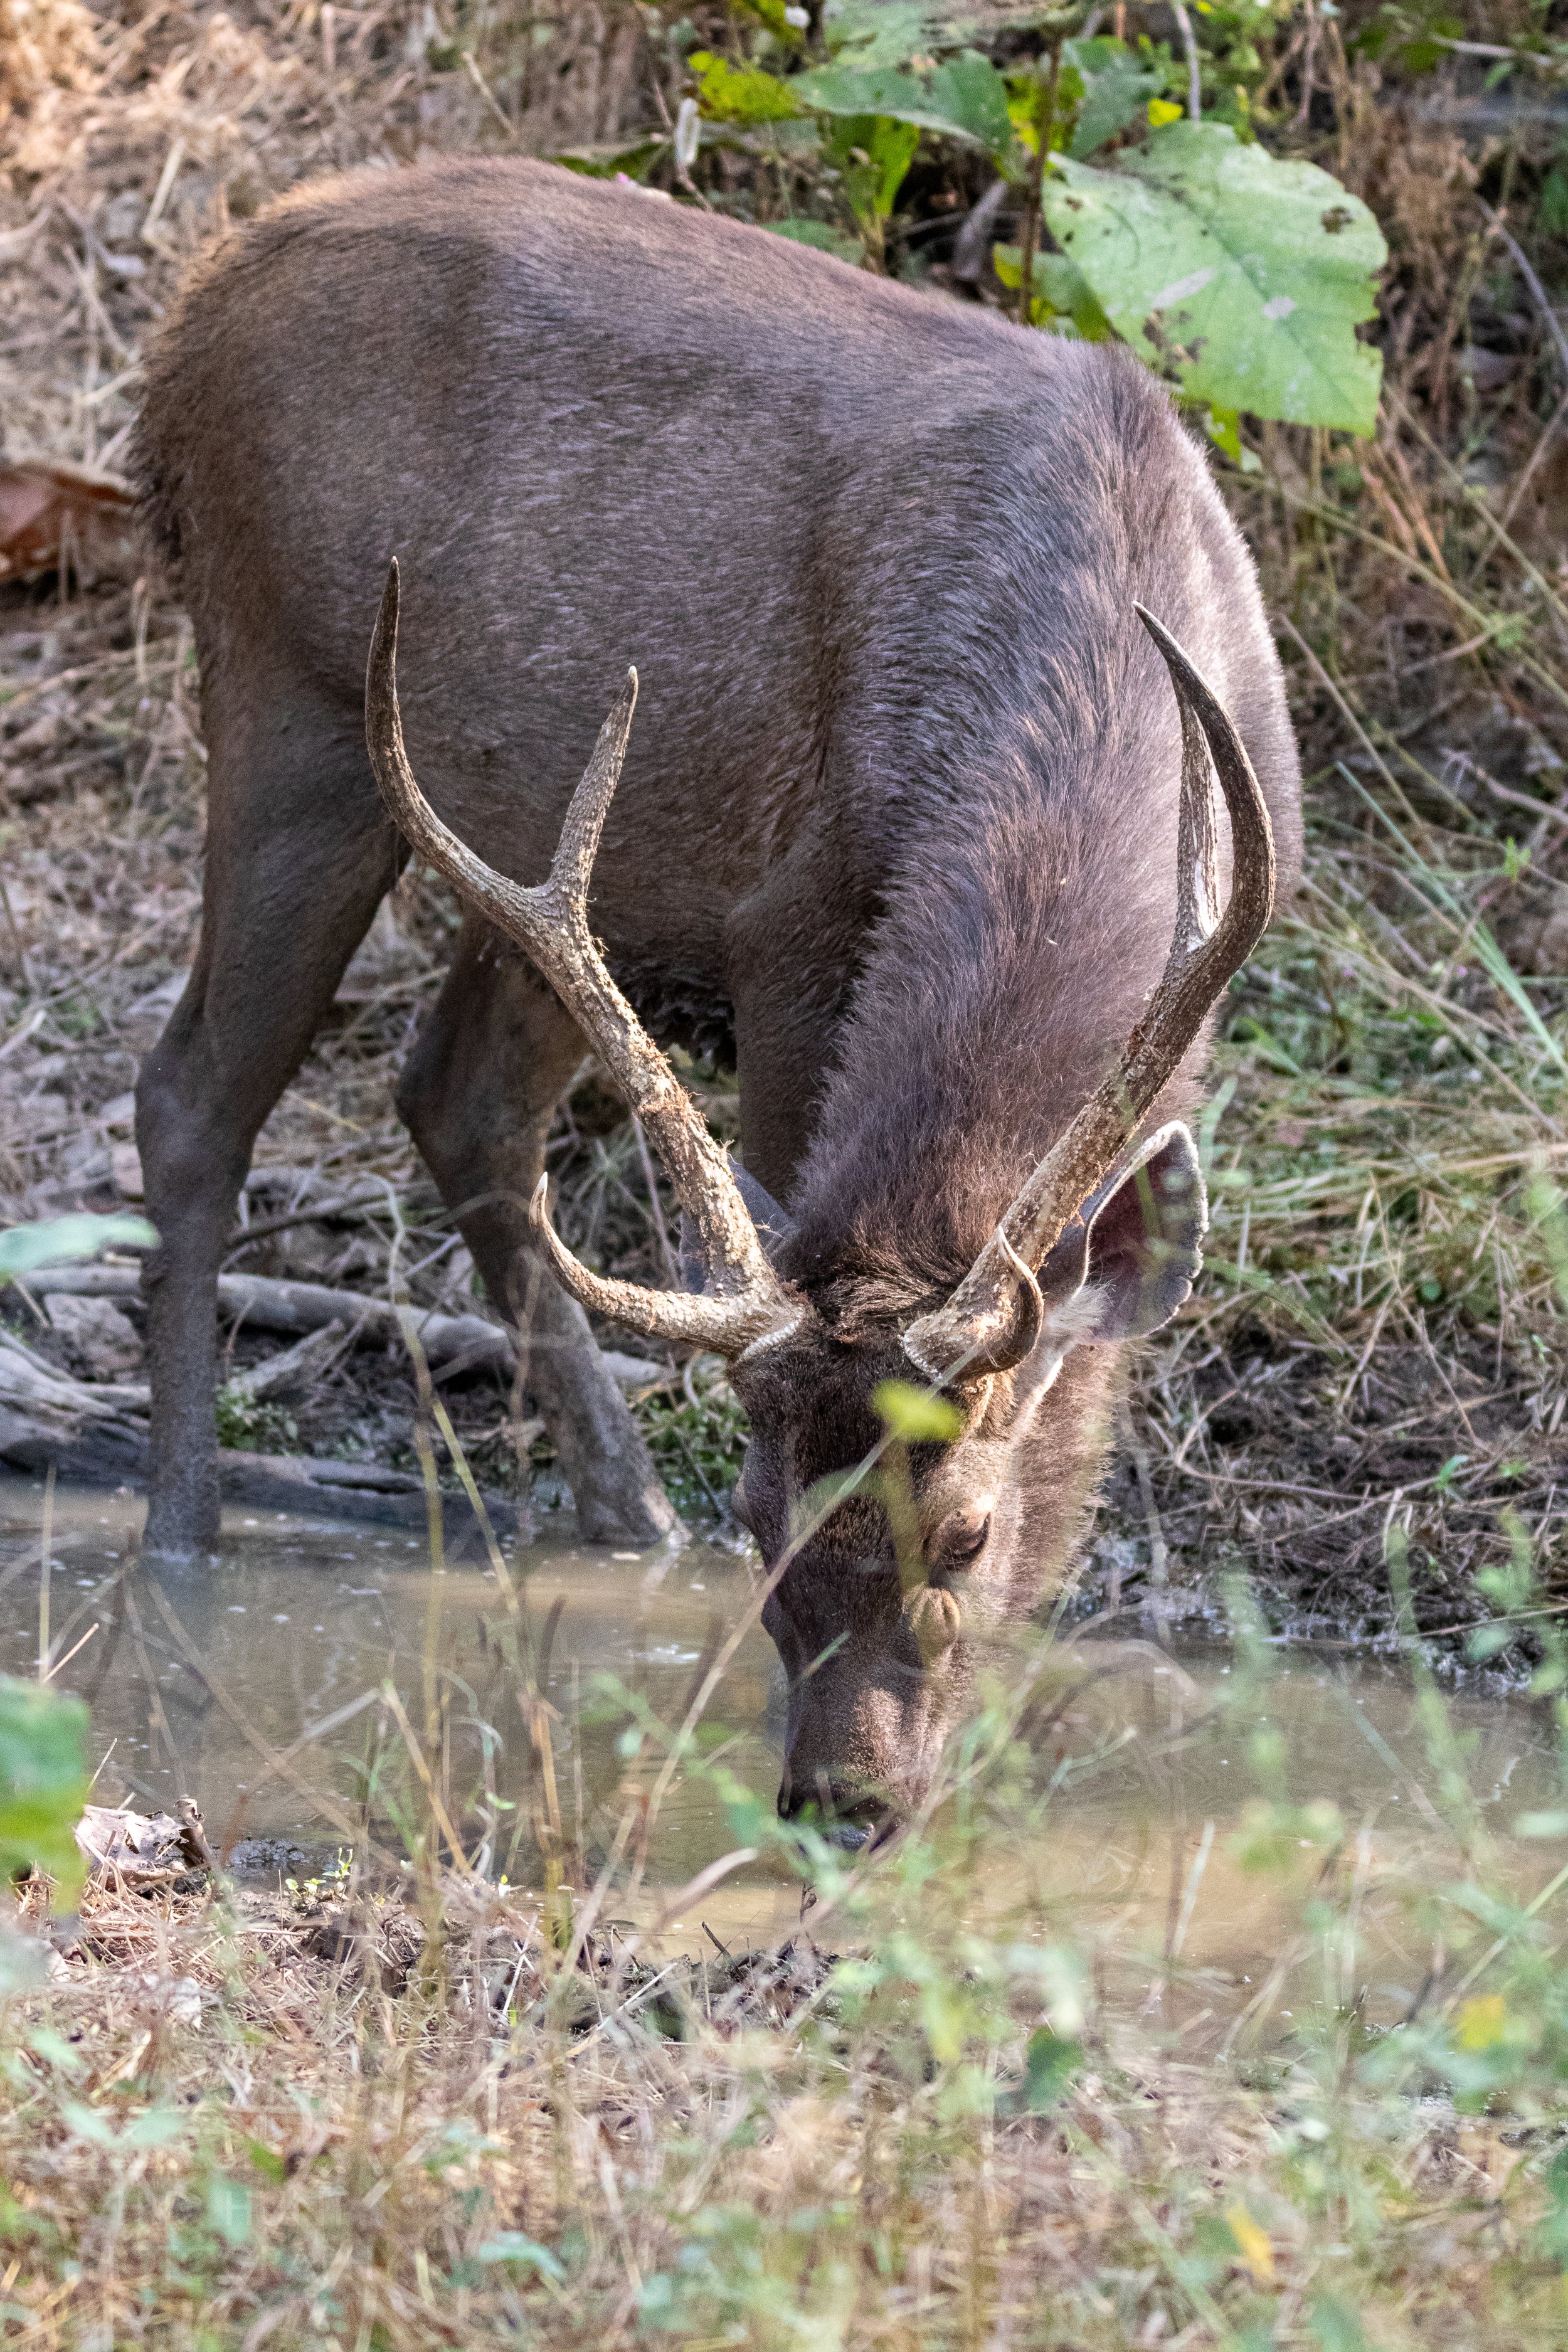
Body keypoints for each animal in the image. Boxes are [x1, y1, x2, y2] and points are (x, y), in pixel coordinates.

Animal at [133, 158, 1301, 1836]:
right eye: (762, 1512)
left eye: (965, 1534)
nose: (842, 1796)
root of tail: (194, 311)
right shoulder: (791, 920)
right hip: (284, 682)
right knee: (197, 1095)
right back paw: (182, 1547)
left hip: (538, 829)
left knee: (454, 1093)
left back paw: (623, 1519)